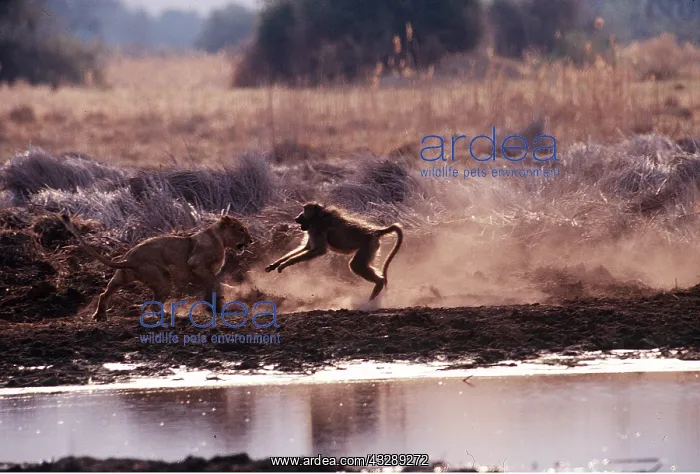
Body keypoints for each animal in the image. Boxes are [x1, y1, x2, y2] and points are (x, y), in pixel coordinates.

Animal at [59, 214, 253, 320]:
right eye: (241, 229)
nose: (251, 241)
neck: (220, 238)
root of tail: (131, 258)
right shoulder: (196, 263)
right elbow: (214, 282)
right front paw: (217, 304)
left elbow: (212, 286)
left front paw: (214, 307)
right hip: (163, 278)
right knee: (154, 305)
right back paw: (169, 316)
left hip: (121, 277)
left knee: (104, 293)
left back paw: (100, 316)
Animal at [264, 202, 403, 301]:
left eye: (304, 210)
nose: (296, 218)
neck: (319, 216)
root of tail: (375, 231)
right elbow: (306, 248)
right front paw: (275, 264)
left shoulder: (318, 228)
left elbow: (319, 250)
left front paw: (284, 265)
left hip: (368, 245)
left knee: (355, 265)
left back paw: (378, 285)